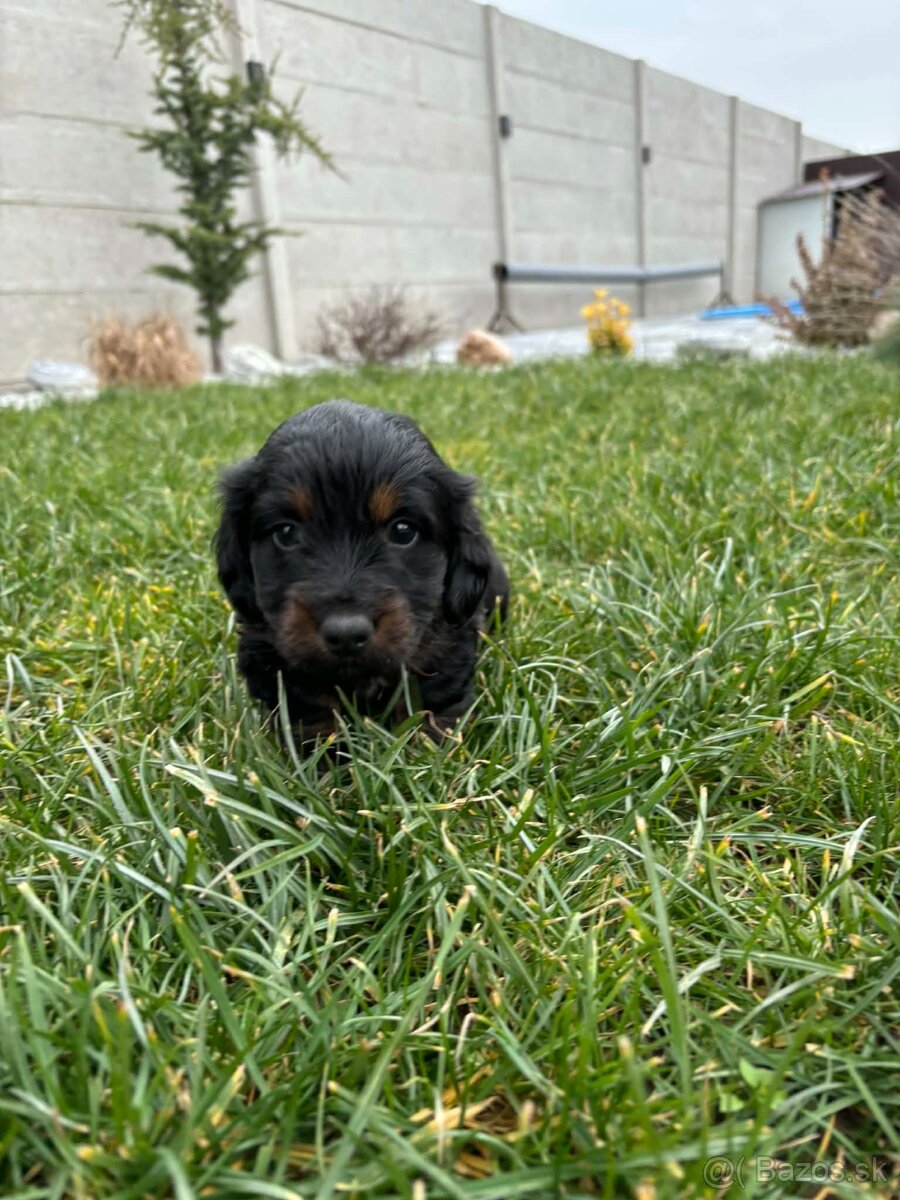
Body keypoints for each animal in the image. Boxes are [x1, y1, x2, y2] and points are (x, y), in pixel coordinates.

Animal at [215, 399, 508, 742]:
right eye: (286, 532)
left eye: (403, 530)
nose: (345, 634)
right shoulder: (272, 648)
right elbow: (309, 708)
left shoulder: (447, 638)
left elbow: (429, 700)